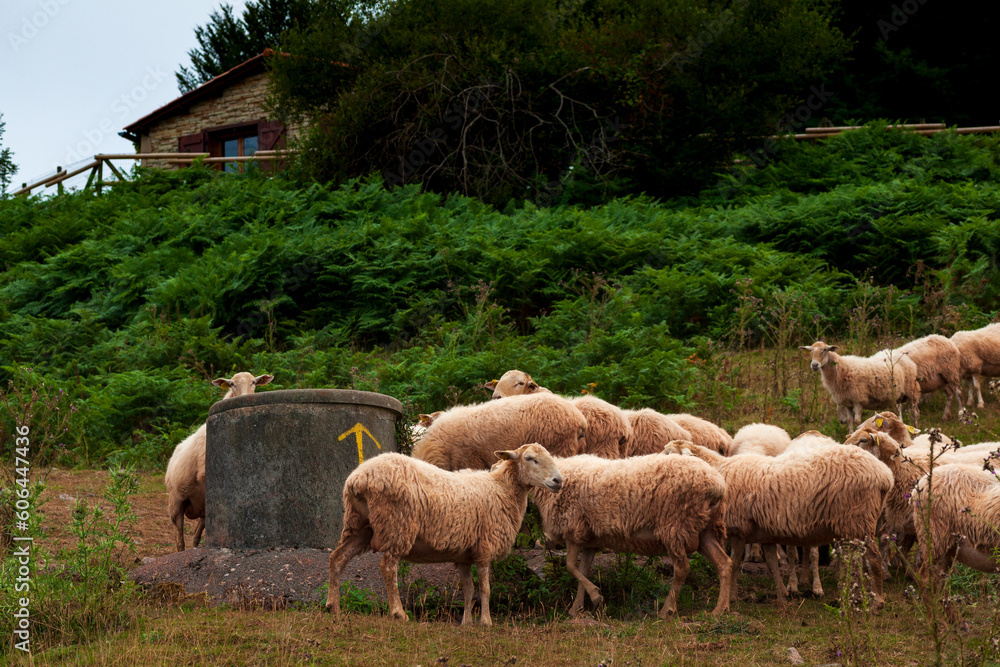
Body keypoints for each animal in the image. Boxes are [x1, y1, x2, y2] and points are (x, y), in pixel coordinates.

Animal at [165, 371, 273, 552]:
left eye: (254, 382)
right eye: (231, 384)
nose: (244, 398)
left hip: (200, 506)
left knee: (197, 534)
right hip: (176, 501)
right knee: (180, 537)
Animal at [325, 443, 564, 625]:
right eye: (530, 458)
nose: (558, 481)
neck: (501, 489)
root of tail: (358, 478)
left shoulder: (465, 555)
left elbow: (468, 588)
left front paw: (466, 622)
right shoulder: (485, 547)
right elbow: (485, 588)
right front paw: (486, 622)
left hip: (358, 525)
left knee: (337, 558)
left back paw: (333, 607)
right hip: (398, 524)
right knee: (388, 567)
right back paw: (398, 613)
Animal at [529, 452, 731, 618]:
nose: (557, 482)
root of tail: (717, 484)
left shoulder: (573, 530)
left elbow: (571, 567)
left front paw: (592, 598)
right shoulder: (589, 541)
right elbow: (583, 571)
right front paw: (578, 607)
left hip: (675, 525)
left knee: (682, 569)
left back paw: (666, 610)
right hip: (705, 530)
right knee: (724, 564)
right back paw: (720, 609)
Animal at [664, 439, 893, 607]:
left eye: (668, 454)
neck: (720, 471)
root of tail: (885, 474)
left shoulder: (740, 529)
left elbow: (735, 563)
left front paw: (731, 596)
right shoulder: (763, 534)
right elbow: (772, 564)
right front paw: (782, 594)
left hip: (859, 520)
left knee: (874, 557)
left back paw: (877, 601)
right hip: (853, 524)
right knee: (855, 560)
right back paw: (853, 597)